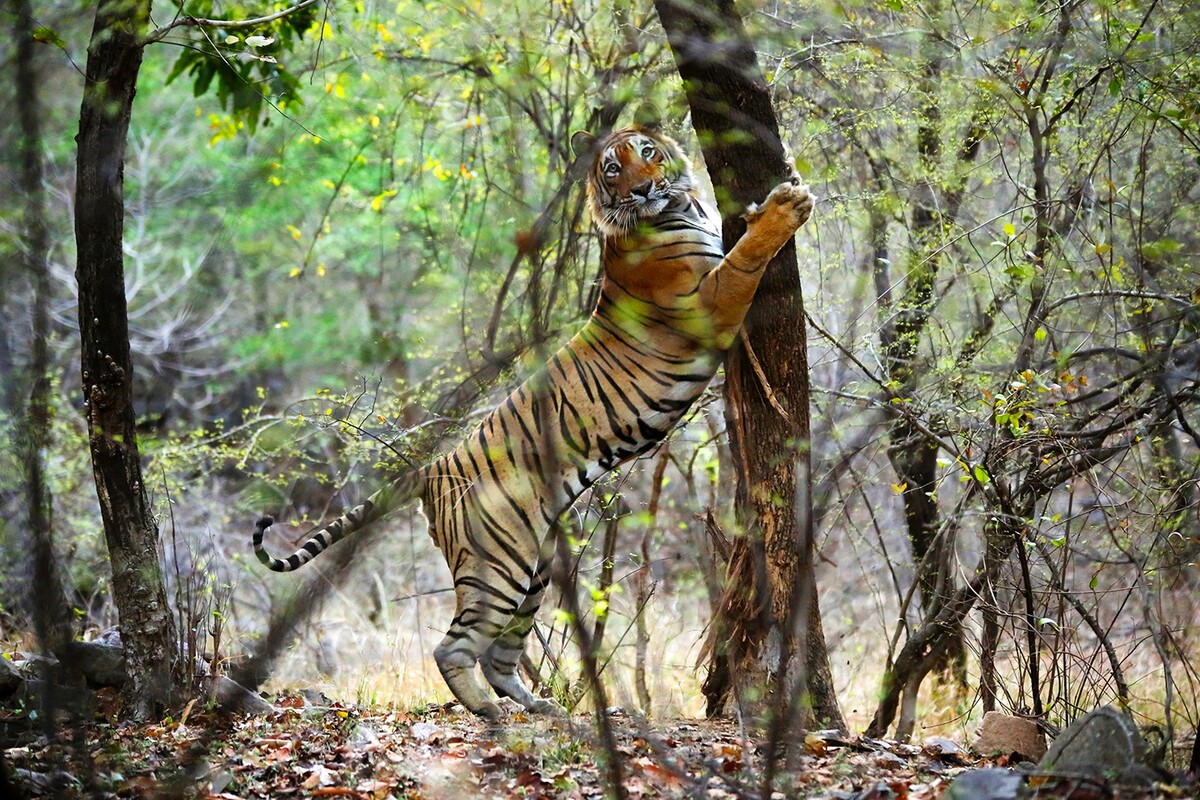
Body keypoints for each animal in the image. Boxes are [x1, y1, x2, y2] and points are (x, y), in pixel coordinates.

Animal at [255, 123, 816, 719]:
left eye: (647, 153)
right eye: (612, 169)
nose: (643, 189)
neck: (677, 208)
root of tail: (431, 469)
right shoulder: (708, 303)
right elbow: (745, 257)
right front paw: (787, 207)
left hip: (534, 571)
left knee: (500, 657)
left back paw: (545, 709)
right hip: (498, 567)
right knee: (454, 647)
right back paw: (491, 713)